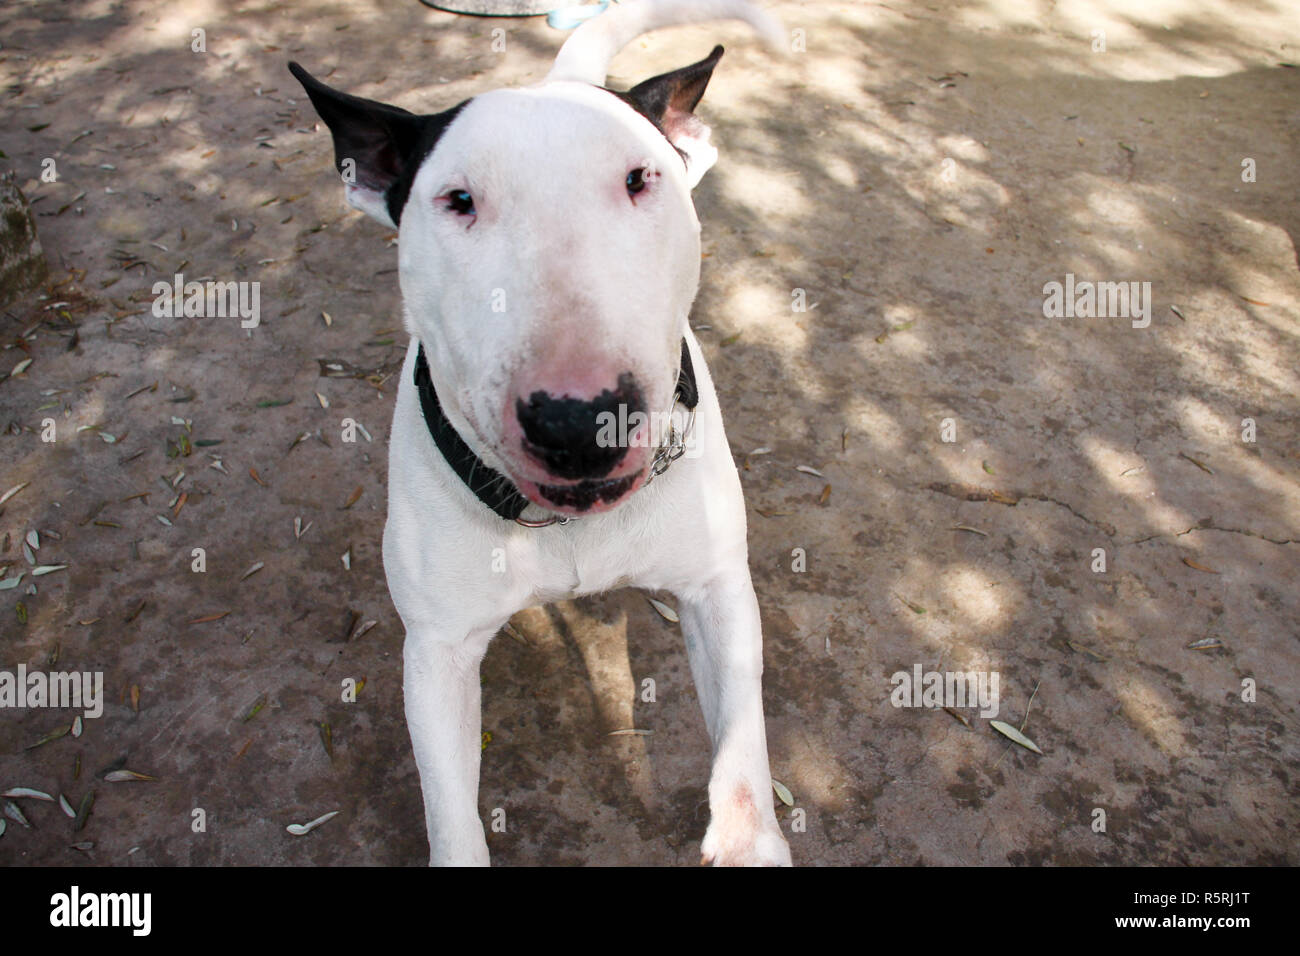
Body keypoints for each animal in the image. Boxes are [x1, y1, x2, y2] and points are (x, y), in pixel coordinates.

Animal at [288, 0, 785, 868]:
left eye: (639, 179)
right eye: (457, 200)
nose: (579, 421)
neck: (562, 524)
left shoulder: (716, 589)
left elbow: (743, 754)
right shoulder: (438, 654)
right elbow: (452, 818)